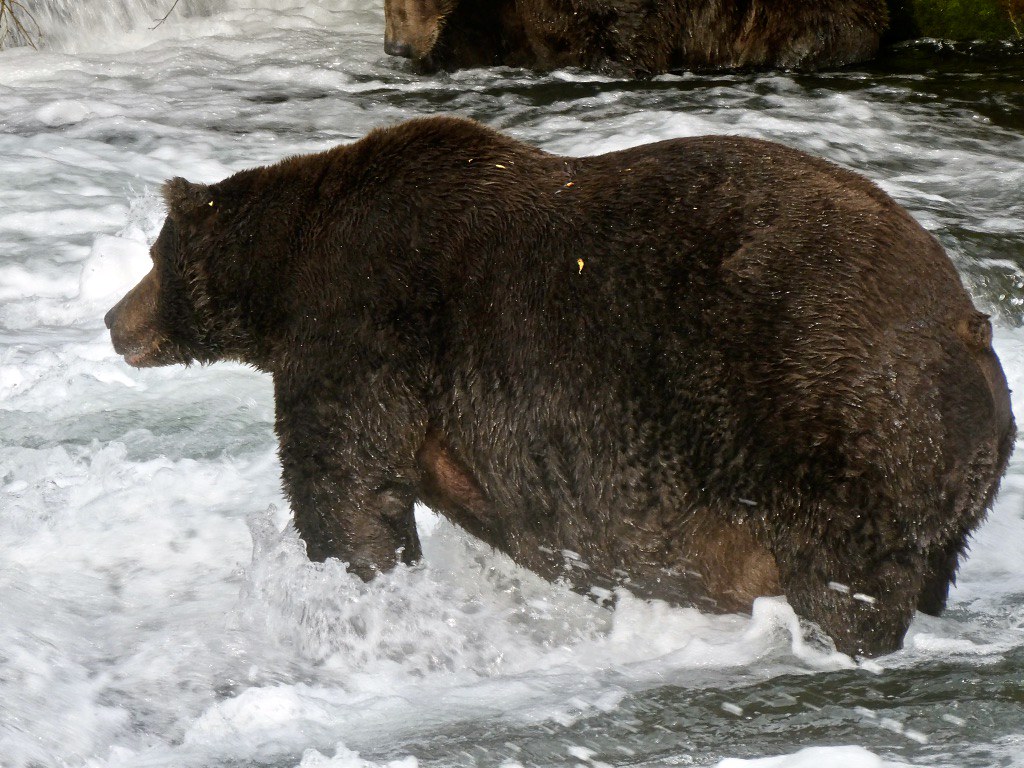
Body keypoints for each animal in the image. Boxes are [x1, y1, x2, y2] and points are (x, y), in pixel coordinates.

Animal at [105, 116, 1015, 658]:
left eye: (152, 257)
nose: (114, 319)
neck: (287, 272)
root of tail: (968, 324)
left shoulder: (362, 324)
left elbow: (347, 487)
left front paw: (360, 593)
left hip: (834, 411)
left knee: (843, 580)